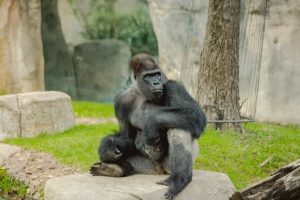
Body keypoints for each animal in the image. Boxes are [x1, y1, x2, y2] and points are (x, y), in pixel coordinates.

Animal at [89, 53, 206, 200]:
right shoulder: (122, 100)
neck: (142, 93)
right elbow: (126, 136)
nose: (156, 82)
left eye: (157, 74)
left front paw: (152, 123)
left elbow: (194, 113)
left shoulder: (173, 86)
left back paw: (180, 177)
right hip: (149, 167)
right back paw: (115, 169)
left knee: (179, 126)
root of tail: (159, 171)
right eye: (148, 76)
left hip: (169, 167)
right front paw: (108, 147)